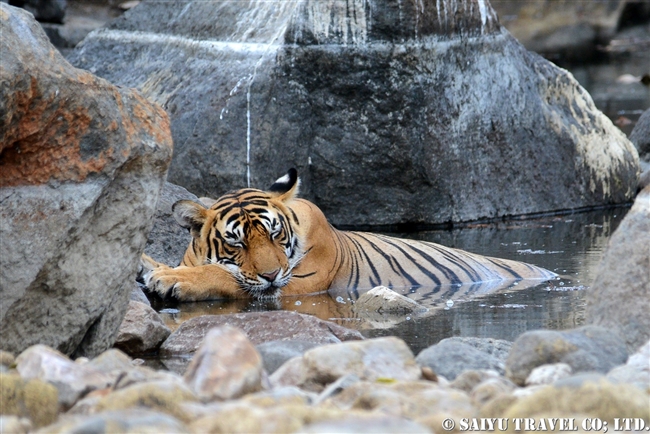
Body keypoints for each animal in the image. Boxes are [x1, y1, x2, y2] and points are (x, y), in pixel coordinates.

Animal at [139, 168, 556, 300]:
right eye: (237, 242)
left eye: (275, 236)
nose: (271, 273)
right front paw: (148, 264)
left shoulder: (297, 284)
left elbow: (225, 278)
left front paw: (169, 278)